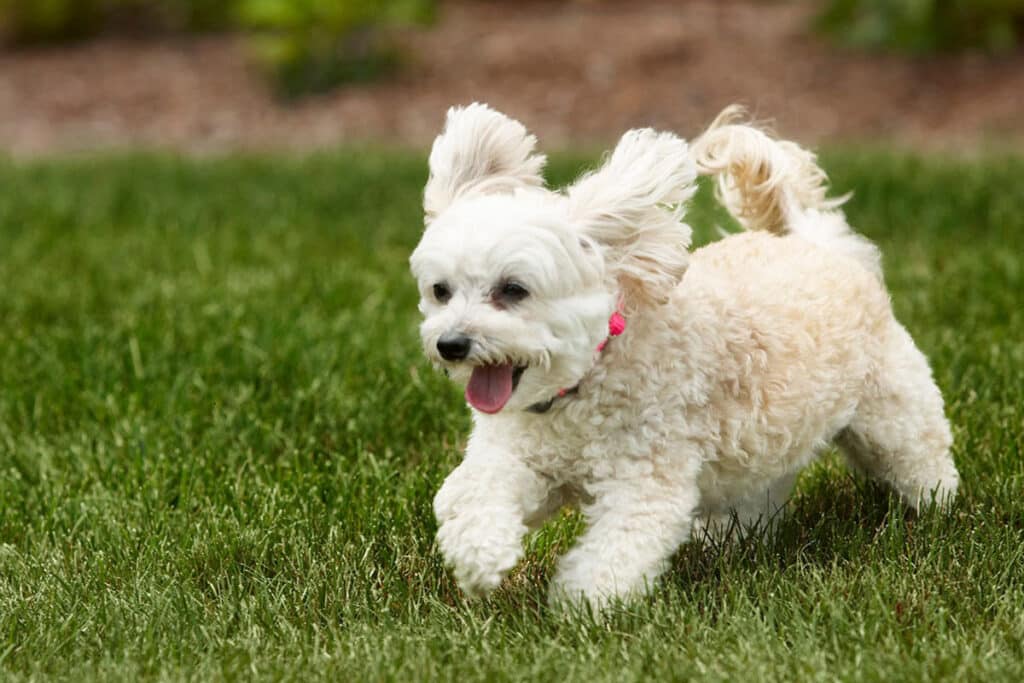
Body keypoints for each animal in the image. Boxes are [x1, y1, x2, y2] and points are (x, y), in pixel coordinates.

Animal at [409, 103, 959, 607]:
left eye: (513, 289)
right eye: (441, 291)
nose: (451, 344)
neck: (584, 383)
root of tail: (826, 247)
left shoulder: (646, 479)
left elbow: (617, 547)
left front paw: (582, 607)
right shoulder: (524, 458)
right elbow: (472, 492)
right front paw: (480, 556)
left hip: (892, 414)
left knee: (922, 460)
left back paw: (939, 509)